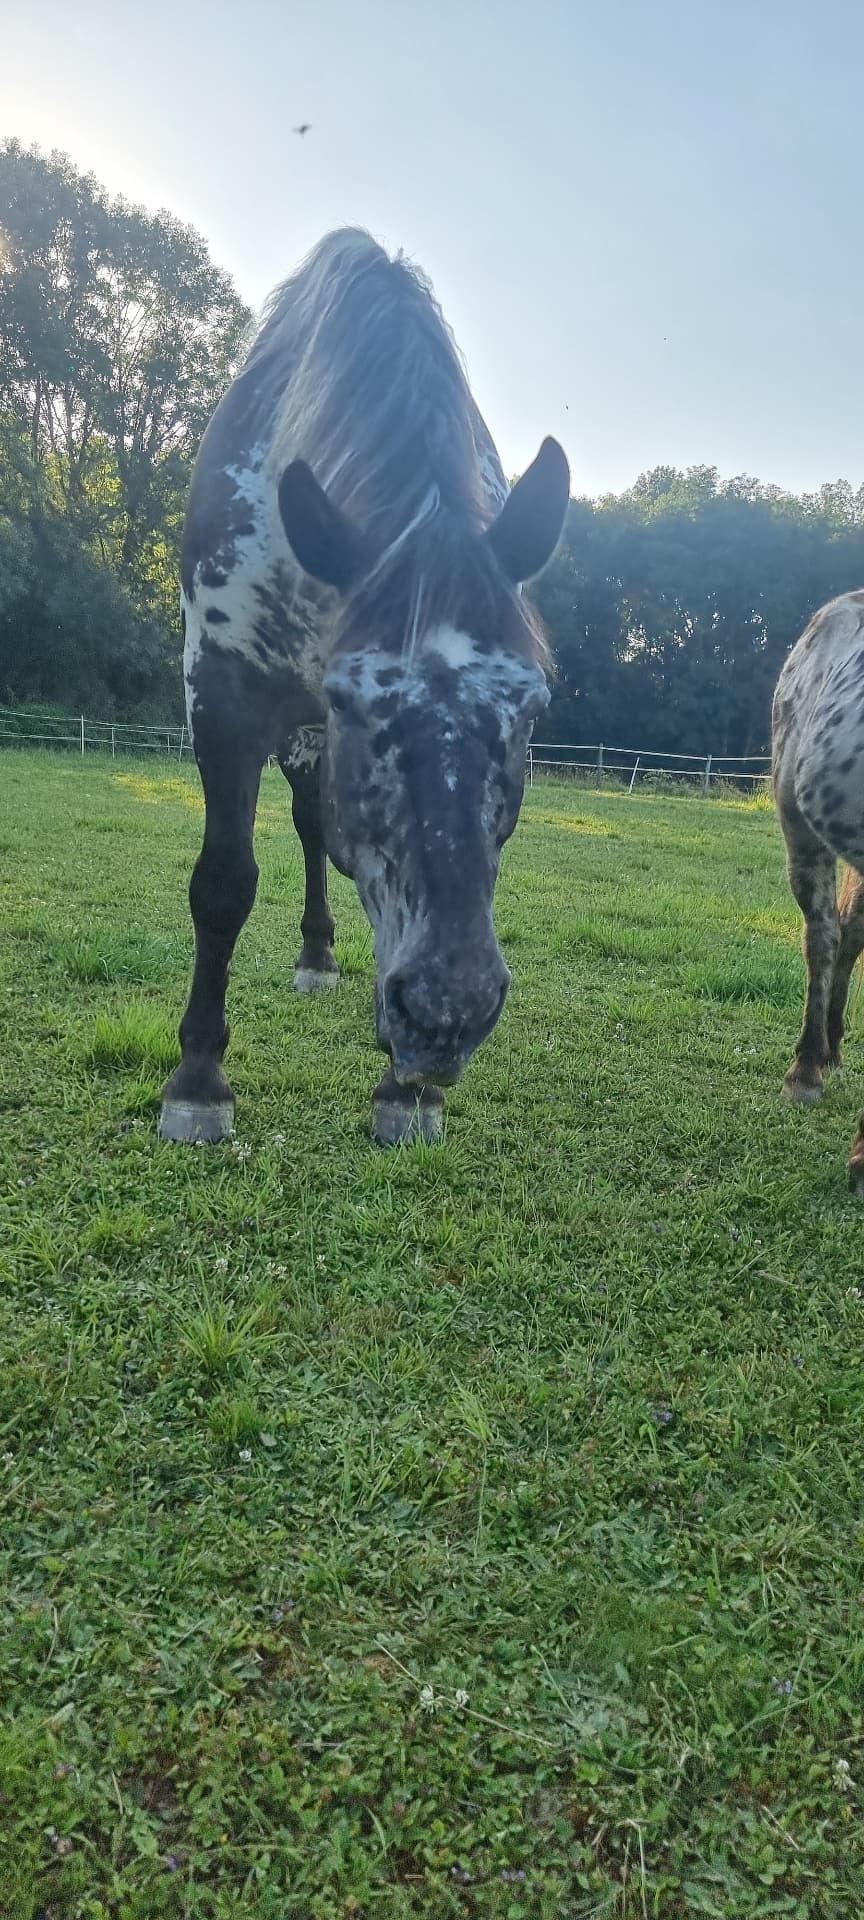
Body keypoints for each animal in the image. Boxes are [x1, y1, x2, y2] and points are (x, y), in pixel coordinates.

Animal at [159, 229, 569, 1148]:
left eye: (529, 706)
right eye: (352, 699)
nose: (449, 1012)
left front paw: (404, 1093)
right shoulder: (223, 697)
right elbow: (224, 883)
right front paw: (198, 1081)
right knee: (310, 829)